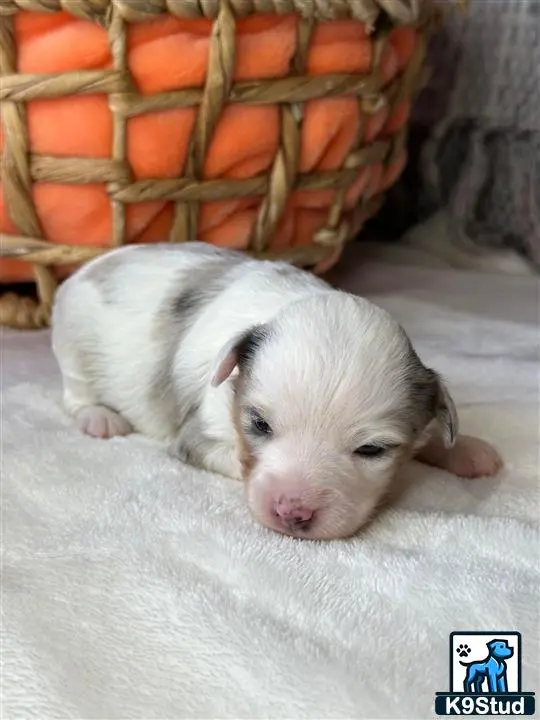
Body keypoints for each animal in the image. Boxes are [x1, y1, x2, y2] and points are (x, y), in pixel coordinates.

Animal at [51, 243, 502, 540]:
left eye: (372, 450)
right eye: (259, 424)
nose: (292, 514)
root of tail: (86, 267)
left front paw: (467, 448)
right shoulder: (197, 433)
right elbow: (230, 458)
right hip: (73, 343)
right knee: (73, 395)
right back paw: (100, 418)